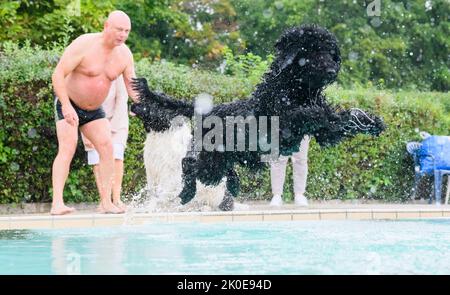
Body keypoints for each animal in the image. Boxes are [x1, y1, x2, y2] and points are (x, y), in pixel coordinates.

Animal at [132, 24, 384, 210]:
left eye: (330, 52)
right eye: (312, 50)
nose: (332, 70)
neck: (291, 89)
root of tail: (206, 110)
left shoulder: (325, 131)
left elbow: (341, 119)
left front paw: (372, 122)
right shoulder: (283, 124)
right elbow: (308, 114)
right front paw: (316, 112)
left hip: (220, 160)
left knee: (214, 171)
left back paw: (232, 185)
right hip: (211, 159)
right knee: (189, 164)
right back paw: (186, 193)